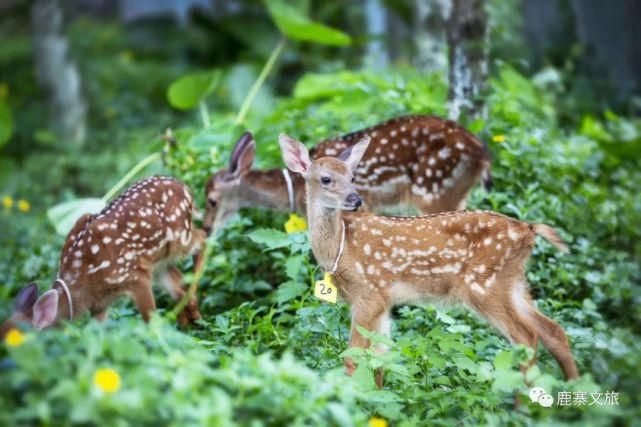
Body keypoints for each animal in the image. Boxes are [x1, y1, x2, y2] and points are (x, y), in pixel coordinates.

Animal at [0, 176, 205, 336]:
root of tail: (185, 188)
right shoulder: (99, 306)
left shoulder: (135, 276)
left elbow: (150, 321)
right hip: (158, 261)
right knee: (177, 285)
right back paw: (190, 320)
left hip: (180, 236)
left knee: (203, 237)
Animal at [278, 135, 576, 390]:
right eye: (326, 179)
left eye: (353, 177)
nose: (355, 199)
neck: (340, 248)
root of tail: (528, 230)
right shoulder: (382, 301)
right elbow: (380, 359)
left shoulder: (369, 293)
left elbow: (354, 358)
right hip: (512, 282)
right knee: (554, 330)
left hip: (484, 284)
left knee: (527, 337)